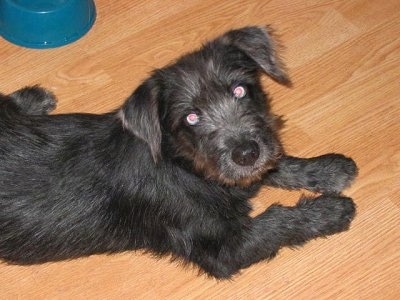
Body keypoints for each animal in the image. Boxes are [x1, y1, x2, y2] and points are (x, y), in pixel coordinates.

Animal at [0, 26, 356, 278]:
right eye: (191, 117)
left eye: (240, 89)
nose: (246, 153)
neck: (183, 164)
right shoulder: (225, 247)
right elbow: (279, 220)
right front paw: (330, 210)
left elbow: (277, 165)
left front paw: (328, 169)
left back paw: (34, 99)